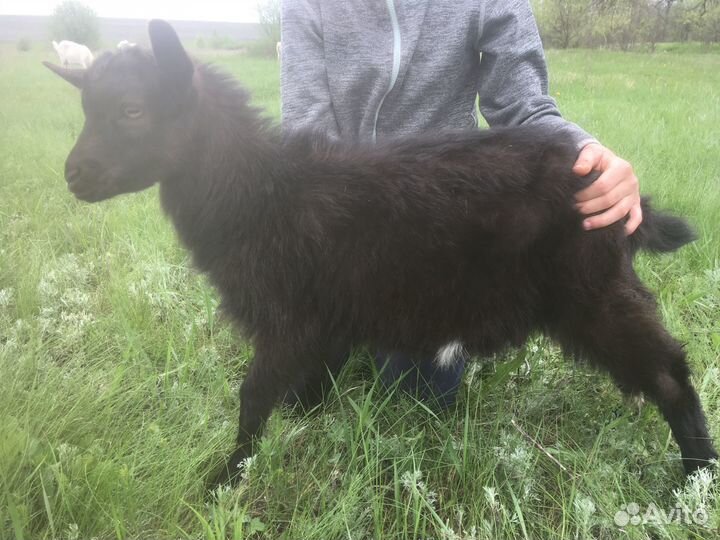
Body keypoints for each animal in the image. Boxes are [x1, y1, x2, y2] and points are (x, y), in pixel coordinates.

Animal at [44, 20, 717, 488]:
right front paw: (304, 434)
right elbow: (304, 392)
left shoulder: (287, 319)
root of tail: (604, 181)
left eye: (133, 111)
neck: (259, 191)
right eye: (85, 109)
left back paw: (697, 478)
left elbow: (253, 398)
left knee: (670, 372)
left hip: (593, 293)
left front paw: (225, 477)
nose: (74, 176)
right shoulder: (320, 324)